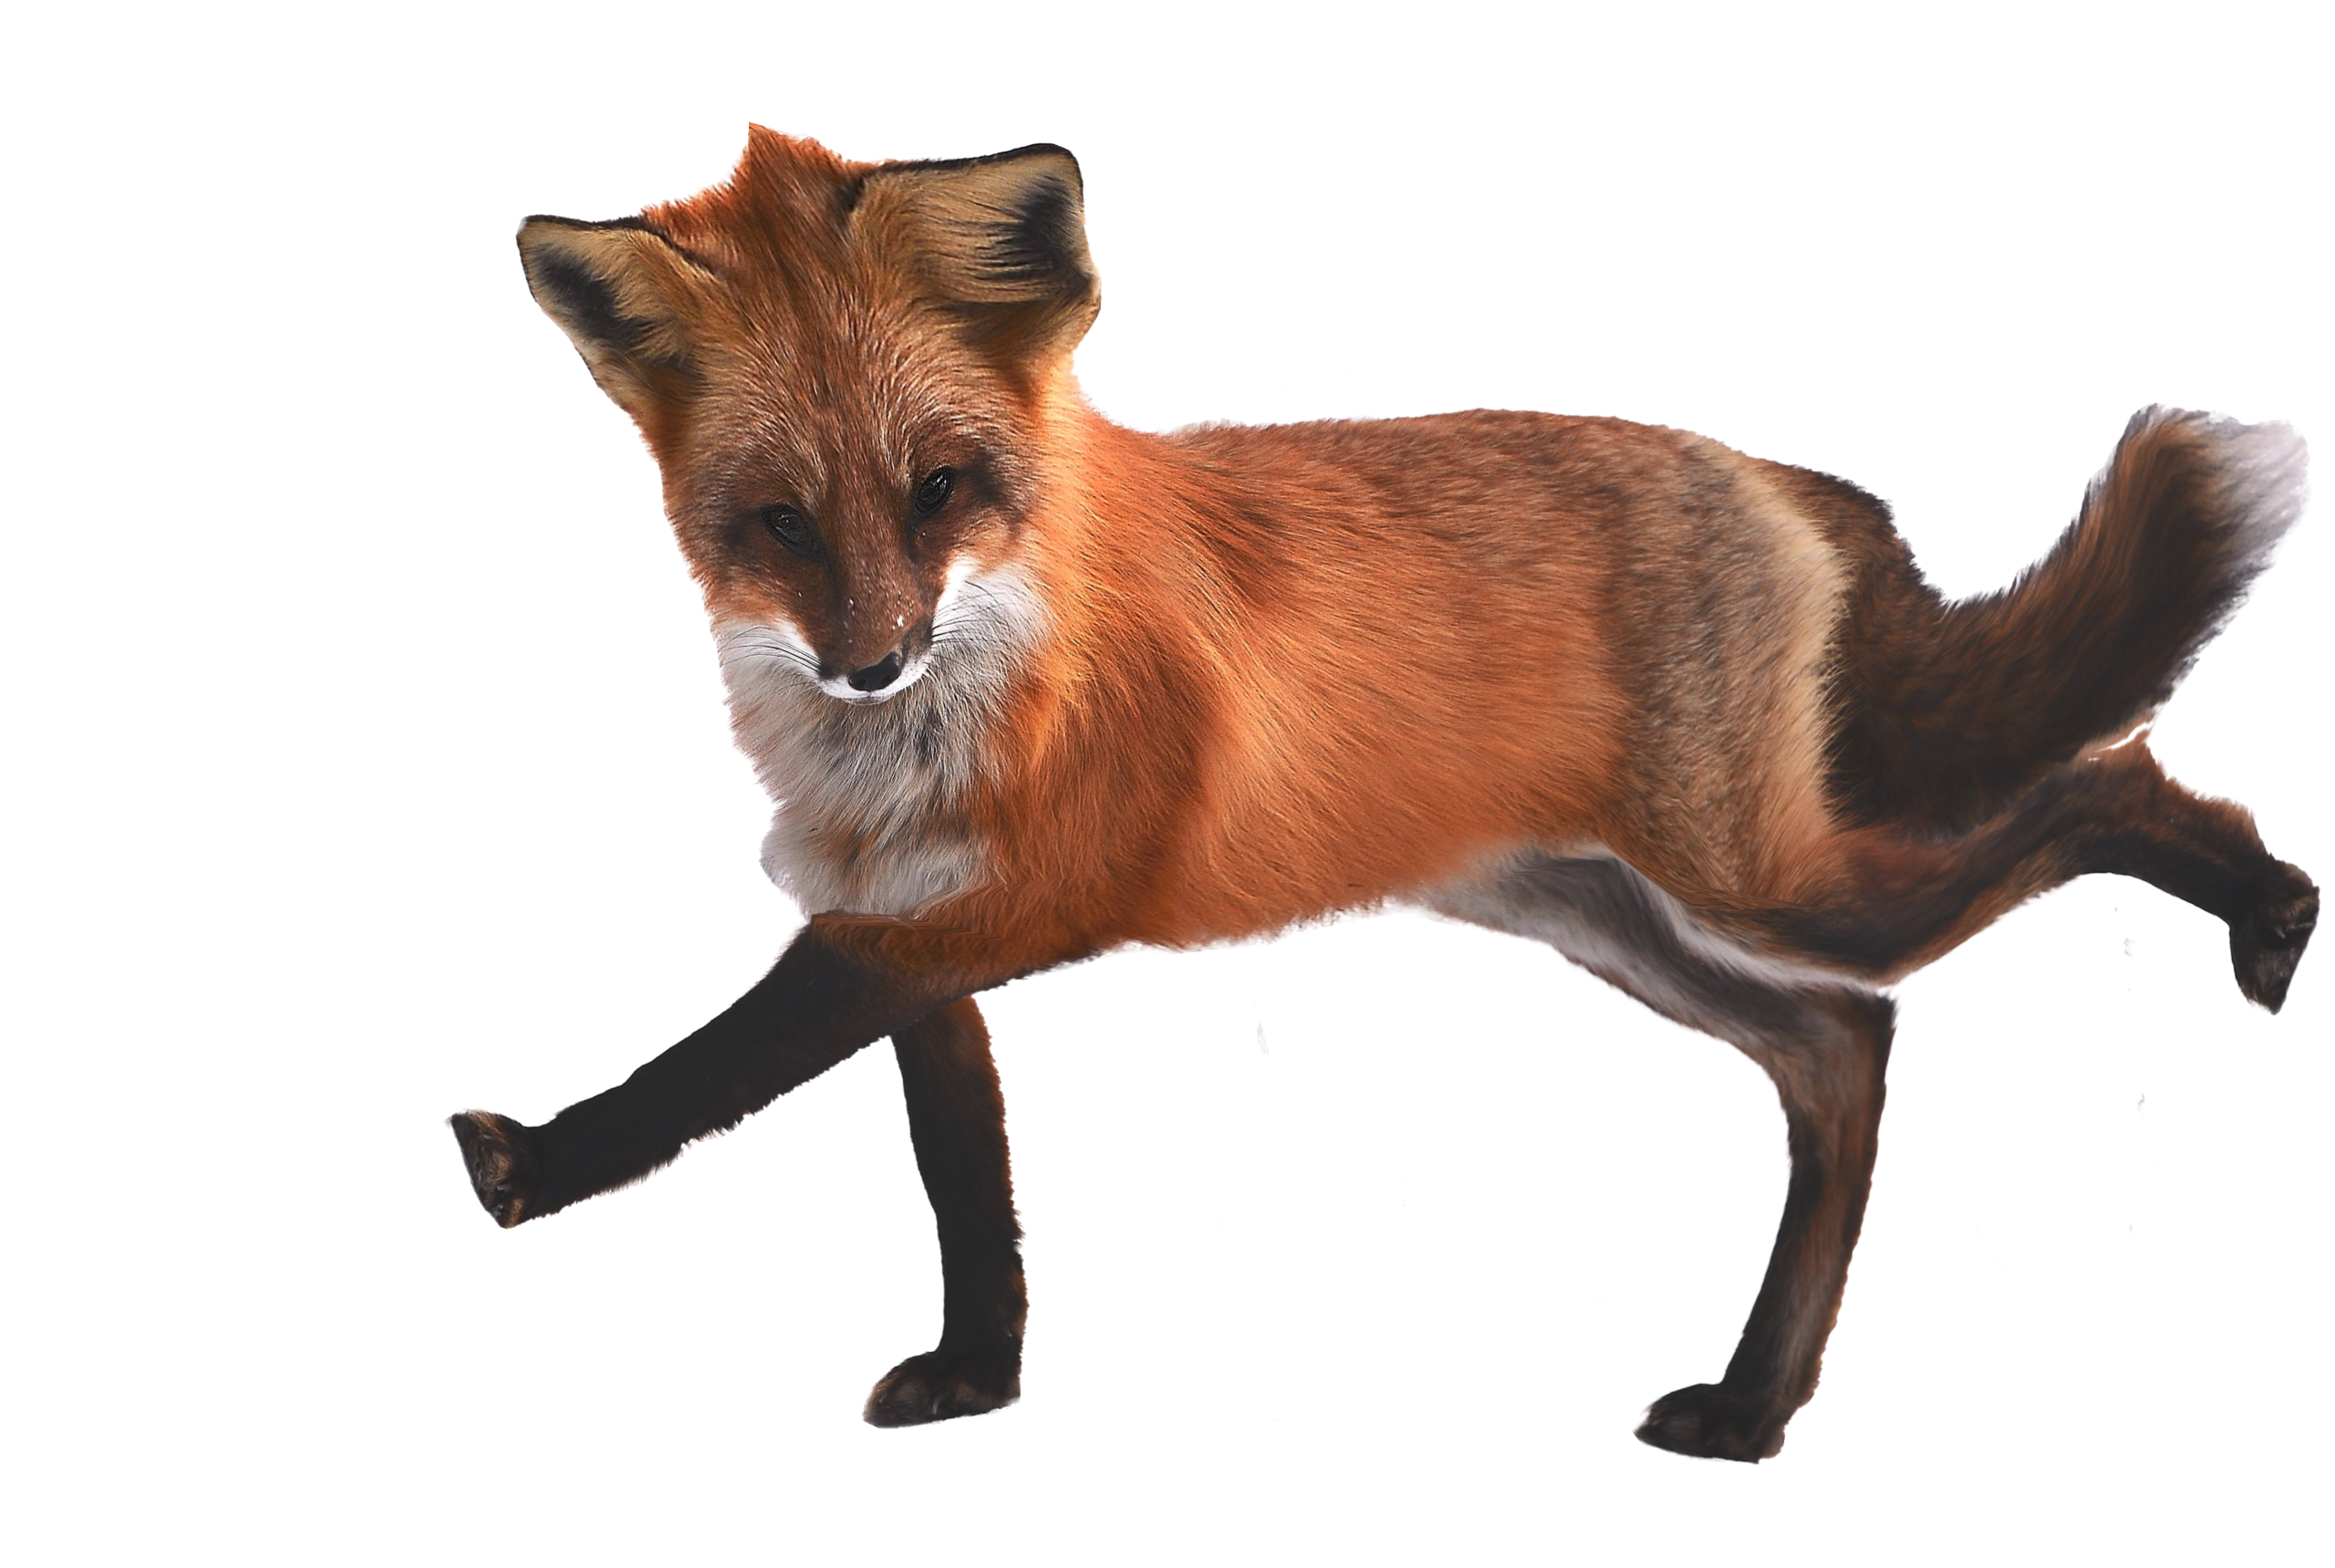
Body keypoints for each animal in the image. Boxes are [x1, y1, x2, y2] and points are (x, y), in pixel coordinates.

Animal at [450, 127, 2317, 1462]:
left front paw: (532, 1164)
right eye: (776, 522)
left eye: (940, 490)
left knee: (2086, 790)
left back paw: (2275, 908)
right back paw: (1754, 1406)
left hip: (1767, 879)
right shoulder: (917, 925)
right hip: (1608, 915)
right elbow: (964, 1182)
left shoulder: (1010, 900)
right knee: (1845, 1048)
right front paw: (980, 1379)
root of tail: (1773, 478)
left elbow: (717, 1062)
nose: (869, 664)